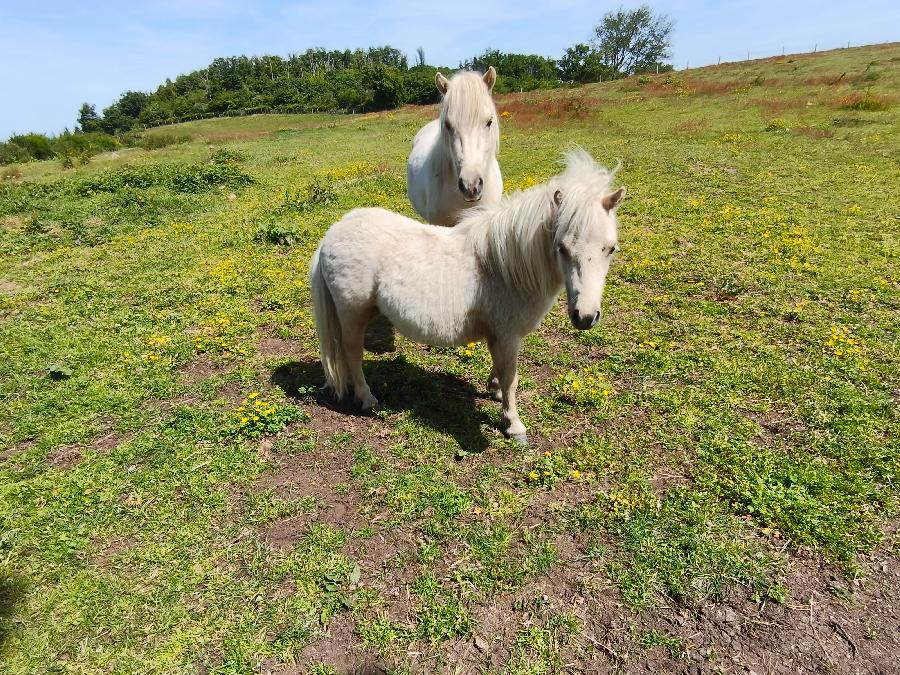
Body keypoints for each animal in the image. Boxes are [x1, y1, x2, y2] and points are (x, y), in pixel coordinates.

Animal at [310, 149, 625, 445]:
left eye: (610, 248)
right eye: (561, 248)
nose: (585, 317)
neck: (502, 266)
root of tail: (332, 234)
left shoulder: (502, 336)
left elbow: (501, 371)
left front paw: (494, 390)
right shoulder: (507, 335)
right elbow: (511, 378)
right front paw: (514, 425)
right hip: (352, 313)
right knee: (352, 352)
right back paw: (367, 398)